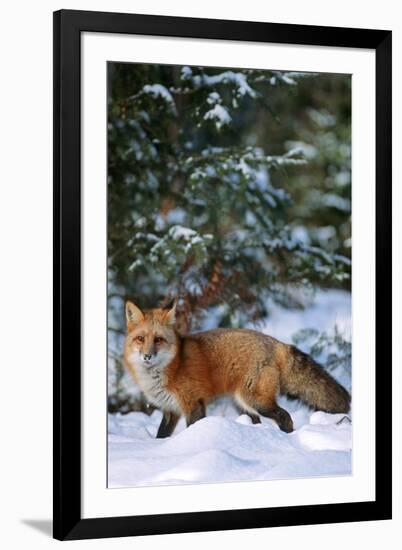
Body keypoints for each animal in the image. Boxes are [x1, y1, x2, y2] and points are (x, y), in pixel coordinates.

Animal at [124, 302, 350, 440]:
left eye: (158, 340)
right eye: (141, 339)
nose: (147, 356)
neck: (171, 367)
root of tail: (277, 343)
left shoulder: (193, 404)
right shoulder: (170, 410)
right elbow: (161, 435)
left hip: (255, 400)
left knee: (284, 416)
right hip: (242, 405)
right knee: (258, 422)